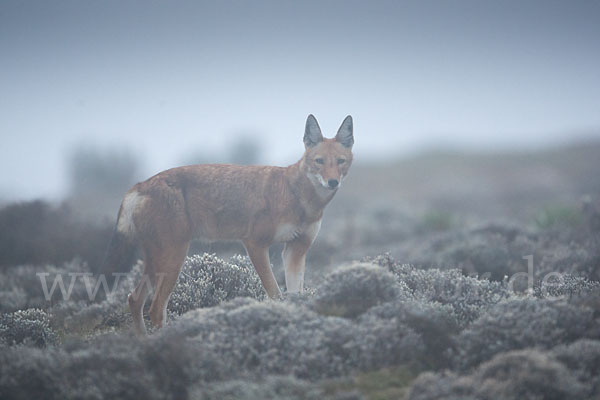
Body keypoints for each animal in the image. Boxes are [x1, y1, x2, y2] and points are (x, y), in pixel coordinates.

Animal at [103, 115, 354, 334]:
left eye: (340, 162)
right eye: (319, 161)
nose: (333, 182)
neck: (297, 195)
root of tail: (139, 185)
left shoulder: (295, 250)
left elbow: (294, 296)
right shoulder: (255, 244)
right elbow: (275, 294)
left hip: (158, 261)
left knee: (134, 299)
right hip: (173, 260)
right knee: (155, 310)